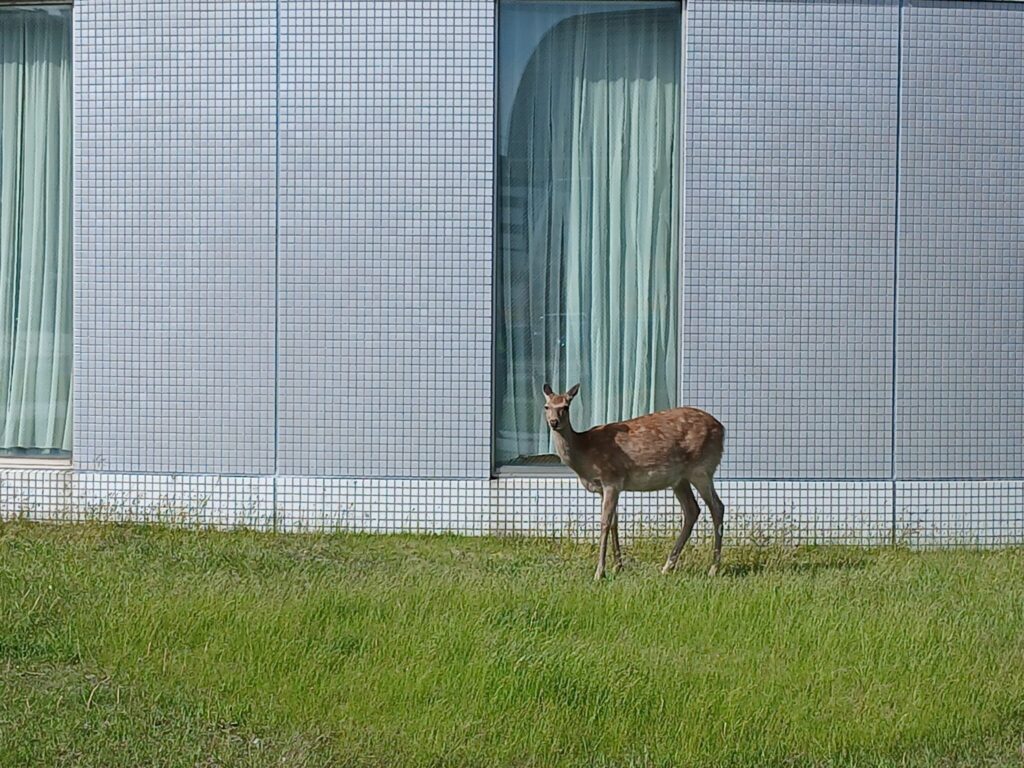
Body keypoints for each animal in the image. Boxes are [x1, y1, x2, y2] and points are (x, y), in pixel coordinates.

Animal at [542, 383, 726, 581]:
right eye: (547, 406)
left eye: (565, 406)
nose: (553, 422)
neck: (585, 453)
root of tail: (722, 429)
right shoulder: (604, 488)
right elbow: (614, 522)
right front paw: (618, 567)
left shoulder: (612, 479)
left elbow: (605, 522)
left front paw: (600, 572)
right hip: (680, 479)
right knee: (692, 510)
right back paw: (668, 566)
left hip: (702, 468)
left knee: (717, 507)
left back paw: (713, 568)